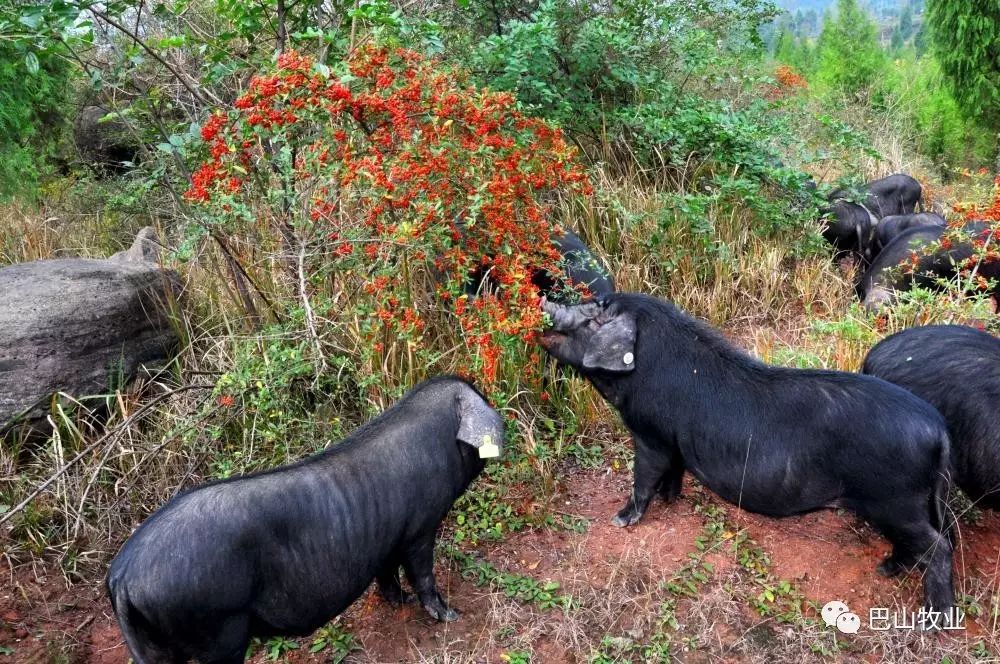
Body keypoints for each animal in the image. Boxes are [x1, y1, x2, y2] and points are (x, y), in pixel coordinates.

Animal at [105, 376, 504, 664]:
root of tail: (122, 578)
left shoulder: (388, 535)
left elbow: (386, 571)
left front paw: (399, 602)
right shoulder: (420, 527)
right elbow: (423, 573)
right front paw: (451, 616)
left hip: (154, 647)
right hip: (218, 629)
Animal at [540, 294, 952, 616]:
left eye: (593, 314)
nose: (543, 300)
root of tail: (939, 429)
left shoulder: (650, 436)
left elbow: (643, 478)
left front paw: (621, 520)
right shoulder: (673, 443)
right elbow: (674, 471)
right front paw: (672, 499)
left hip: (897, 500)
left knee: (939, 546)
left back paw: (934, 616)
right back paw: (886, 569)